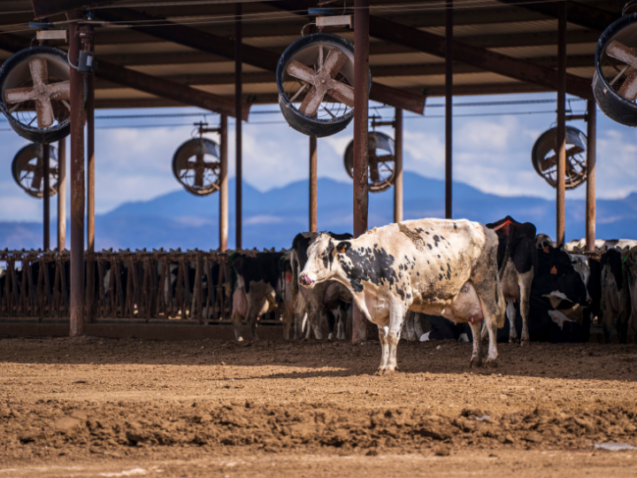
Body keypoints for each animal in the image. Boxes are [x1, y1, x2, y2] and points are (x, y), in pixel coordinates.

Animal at [296, 218, 502, 372]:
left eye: (323, 254)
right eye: (308, 253)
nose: (303, 277)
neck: (373, 258)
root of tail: (485, 229)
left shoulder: (399, 300)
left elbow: (393, 336)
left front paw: (390, 367)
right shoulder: (380, 305)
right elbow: (383, 338)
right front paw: (382, 365)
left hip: (484, 282)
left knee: (490, 319)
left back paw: (491, 358)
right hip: (470, 292)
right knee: (475, 323)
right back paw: (475, 359)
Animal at [484, 216, 536, 344]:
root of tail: (509, 227)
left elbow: (510, 312)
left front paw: (512, 337)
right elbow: (511, 312)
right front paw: (513, 337)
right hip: (525, 274)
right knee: (524, 306)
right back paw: (524, 337)